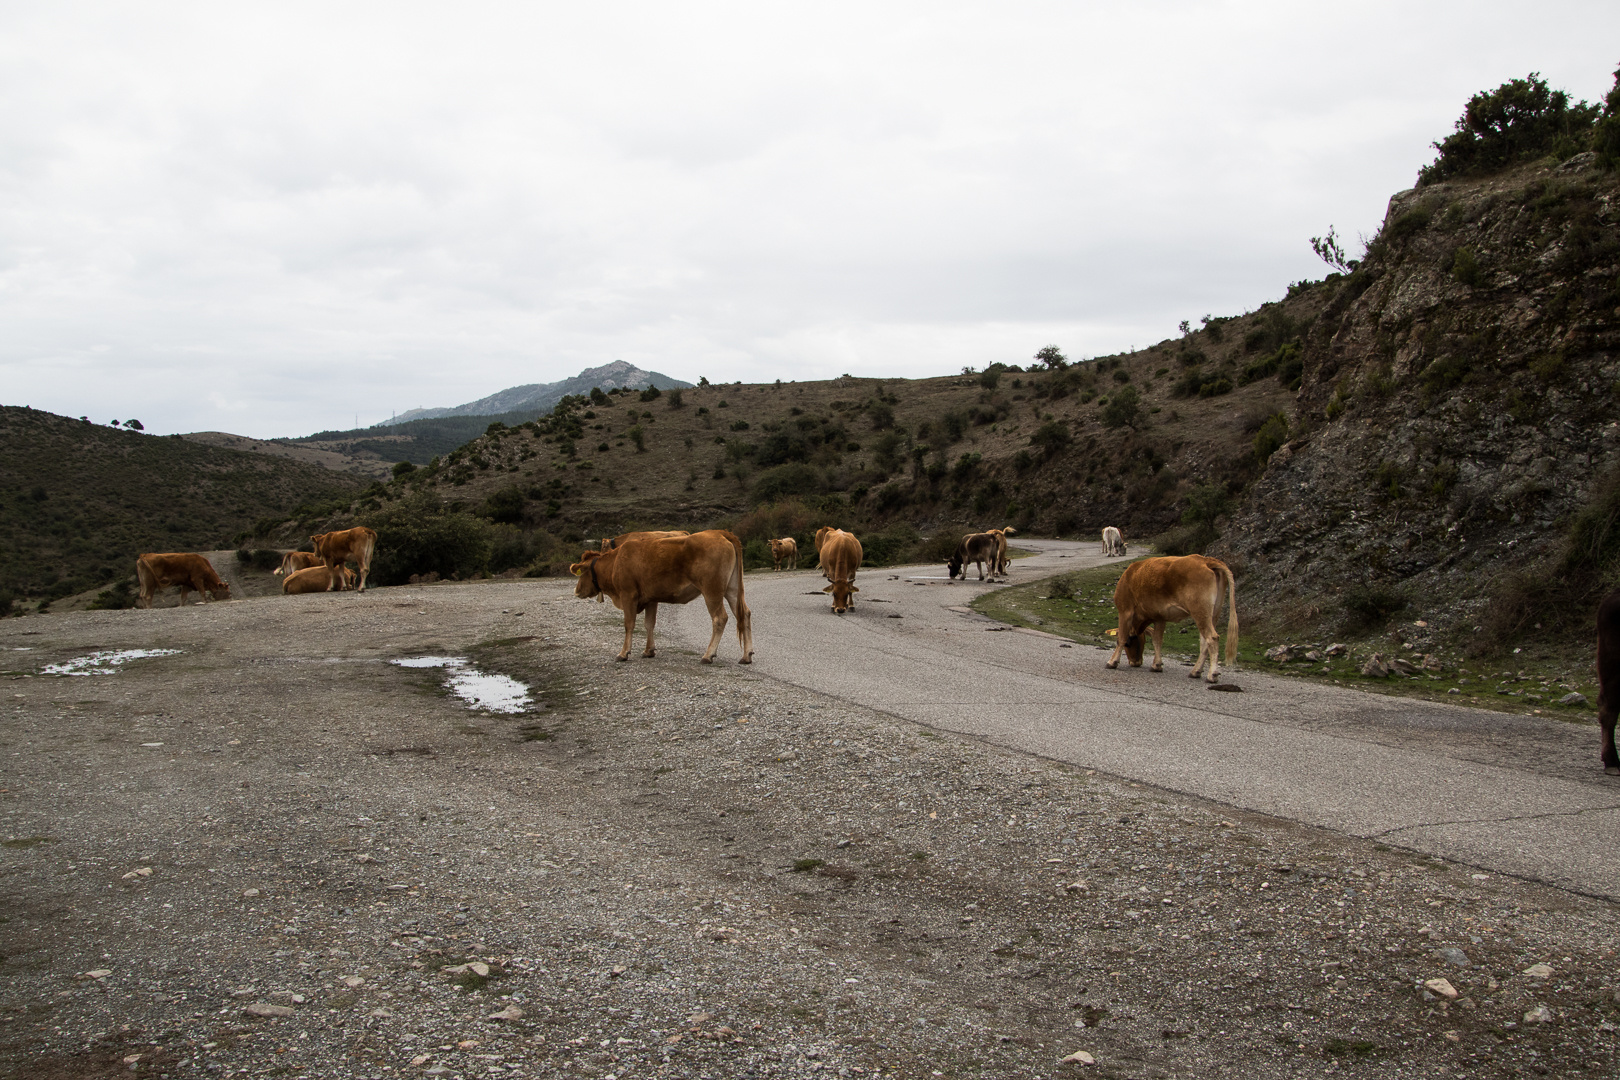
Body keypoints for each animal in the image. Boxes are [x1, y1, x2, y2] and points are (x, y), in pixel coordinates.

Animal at [570, 527, 751, 663]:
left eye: (582, 572)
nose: (576, 590)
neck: (616, 561)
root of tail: (719, 532)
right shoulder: (651, 598)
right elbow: (649, 624)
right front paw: (648, 650)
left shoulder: (628, 595)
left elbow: (629, 624)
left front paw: (623, 653)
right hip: (732, 590)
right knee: (744, 614)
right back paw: (746, 656)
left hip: (711, 591)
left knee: (720, 618)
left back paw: (708, 655)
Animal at [1101, 557, 1237, 683]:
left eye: (1129, 644)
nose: (1136, 662)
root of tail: (1205, 560)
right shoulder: (1159, 617)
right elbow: (1157, 640)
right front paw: (1156, 665)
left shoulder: (1125, 611)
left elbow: (1121, 638)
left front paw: (1112, 662)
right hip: (1214, 613)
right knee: (1204, 642)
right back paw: (1195, 671)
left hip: (1200, 611)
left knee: (1212, 638)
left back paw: (1212, 675)